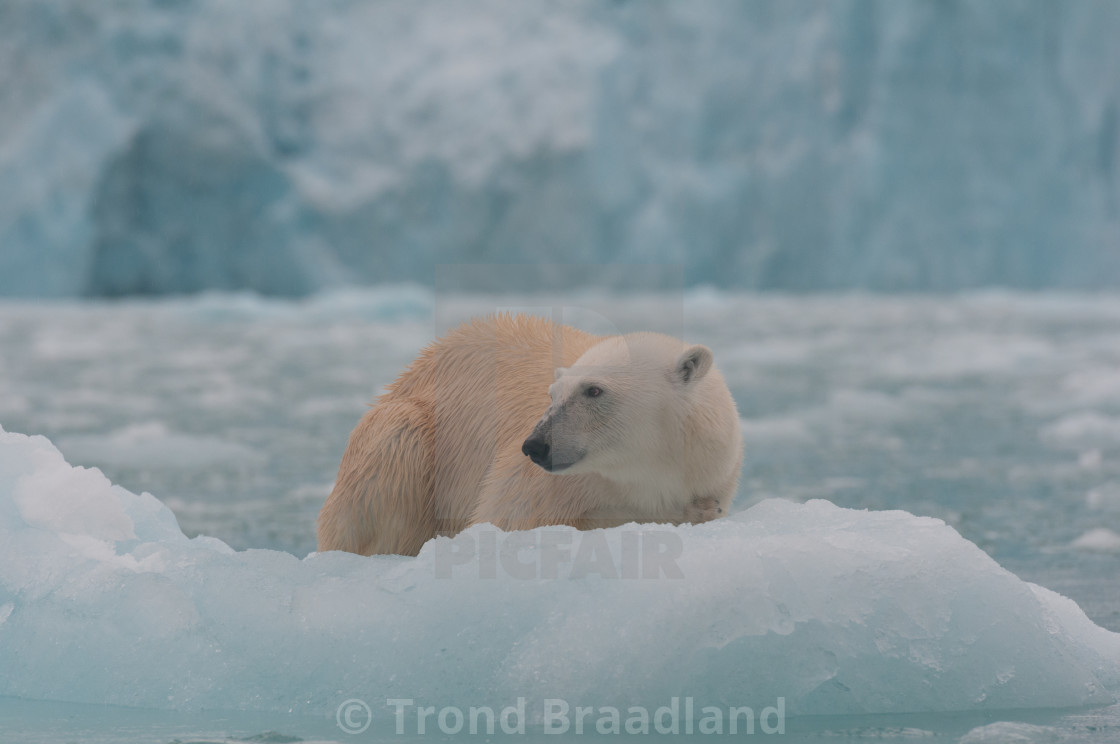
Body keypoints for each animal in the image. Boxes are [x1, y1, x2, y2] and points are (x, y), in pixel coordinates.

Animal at [315, 311, 739, 555]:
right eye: (553, 394)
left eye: (593, 390)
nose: (536, 445)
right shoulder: (544, 485)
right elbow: (509, 522)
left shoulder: (712, 468)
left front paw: (702, 510)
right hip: (410, 434)